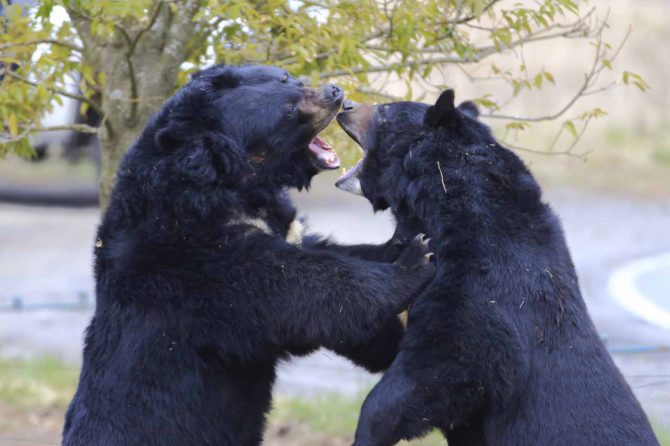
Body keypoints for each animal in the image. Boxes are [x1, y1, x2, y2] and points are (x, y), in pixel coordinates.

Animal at [61, 63, 436, 446]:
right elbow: (299, 290)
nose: (335, 93)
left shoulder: (282, 228)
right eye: (289, 109)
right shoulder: (191, 259)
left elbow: (323, 252)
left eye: (287, 77)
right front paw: (413, 261)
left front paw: (399, 247)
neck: (231, 185)